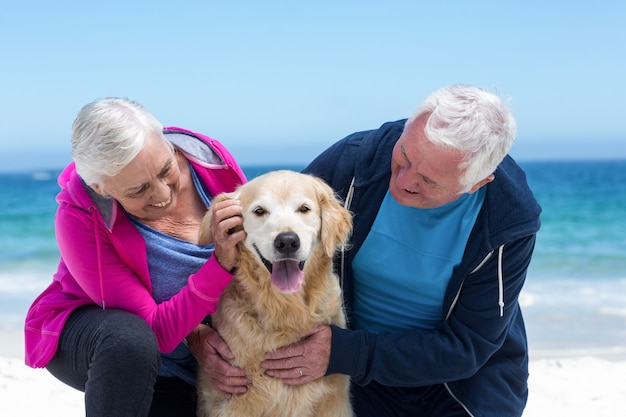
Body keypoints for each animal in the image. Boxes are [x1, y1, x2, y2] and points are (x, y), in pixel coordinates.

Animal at [196, 170, 352, 416]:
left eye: (304, 209)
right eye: (259, 211)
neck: (284, 308)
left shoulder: (333, 403)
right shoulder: (234, 404)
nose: (287, 241)